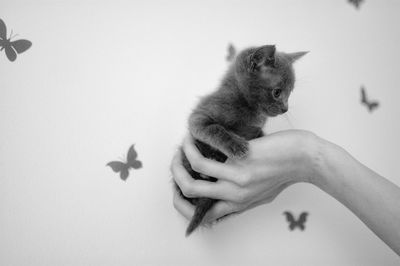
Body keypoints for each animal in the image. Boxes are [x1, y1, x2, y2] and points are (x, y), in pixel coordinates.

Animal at [177, 44, 306, 236]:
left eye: (290, 92)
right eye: (277, 92)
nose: (285, 108)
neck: (249, 108)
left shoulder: (256, 129)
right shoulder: (199, 117)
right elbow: (215, 129)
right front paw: (237, 146)